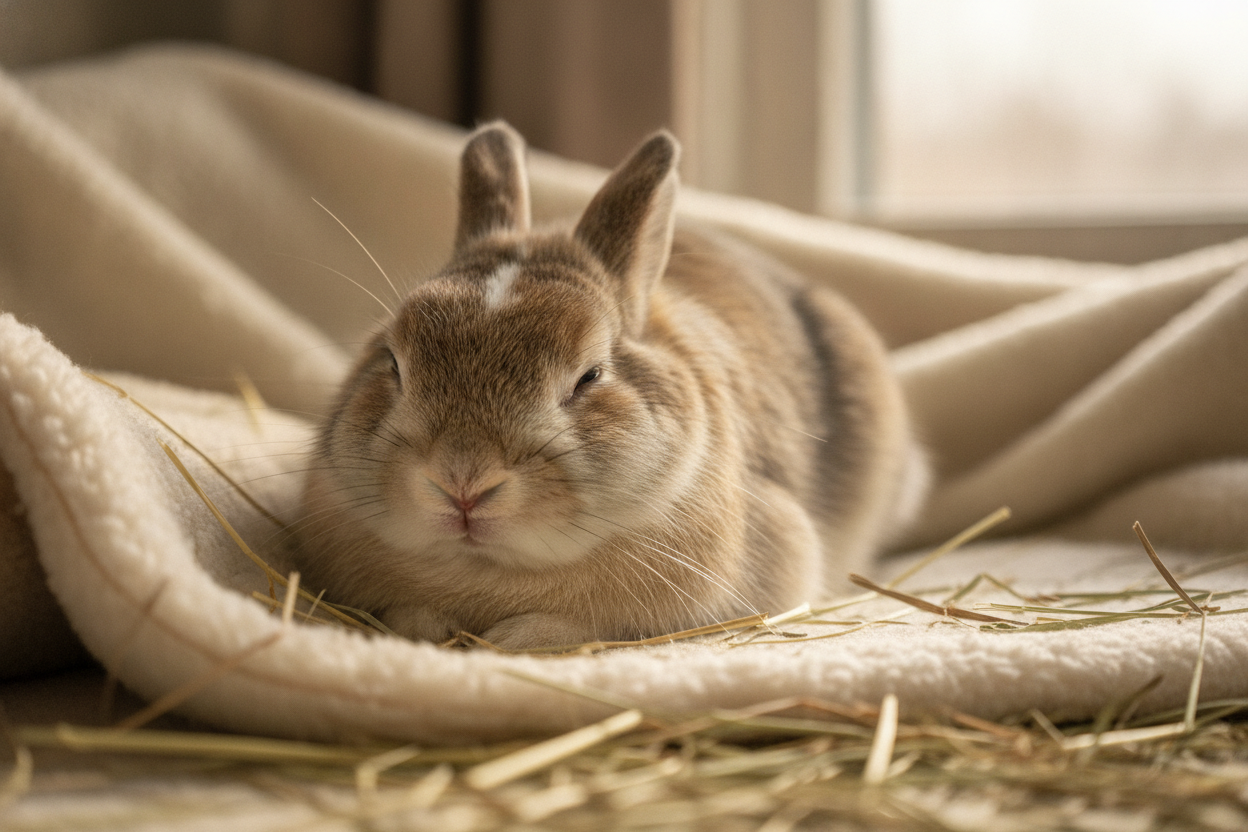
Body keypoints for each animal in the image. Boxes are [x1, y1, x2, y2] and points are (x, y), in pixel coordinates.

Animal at [295, 121, 924, 650]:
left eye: (589, 377)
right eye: (394, 363)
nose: (463, 483)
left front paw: (516, 637)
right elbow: (407, 614)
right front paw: (430, 628)